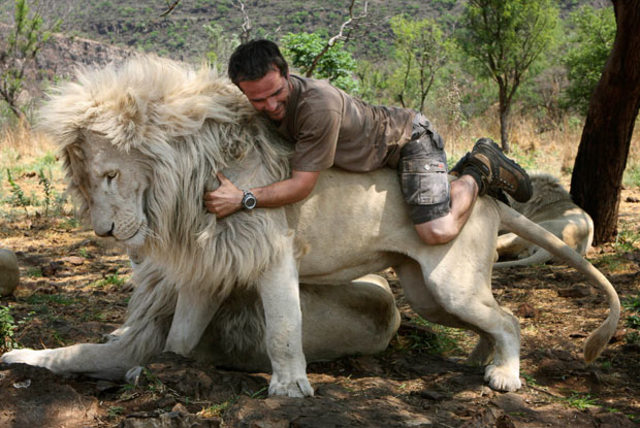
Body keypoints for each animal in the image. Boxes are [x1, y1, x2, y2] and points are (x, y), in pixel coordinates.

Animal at [1, 56, 620, 397]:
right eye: (85, 182)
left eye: (110, 174)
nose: (104, 233)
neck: (189, 177)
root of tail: (487, 204)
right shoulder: (211, 263)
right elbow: (177, 337)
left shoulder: (271, 251)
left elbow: (282, 327)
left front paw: (290, 387)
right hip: (427, 291)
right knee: (490, 320)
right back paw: (481, 358)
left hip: (448, 274)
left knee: (510, 319)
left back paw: (505, 375)